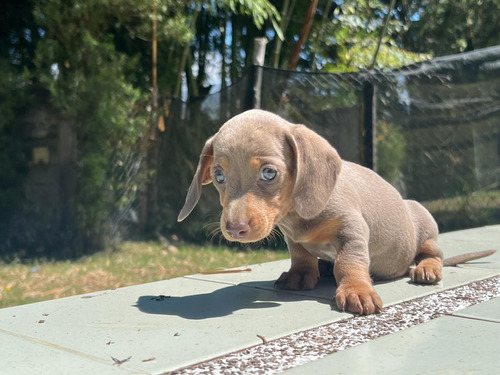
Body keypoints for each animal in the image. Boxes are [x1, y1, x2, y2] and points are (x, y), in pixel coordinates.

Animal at [178, 109, 494, 314]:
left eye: (269, 173)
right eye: (218, 176)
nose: (235, 229)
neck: (296, 215)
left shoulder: (353, 229)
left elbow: (349, 262)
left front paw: (356, 290)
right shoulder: (294, 239)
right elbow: (302, 256)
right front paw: (300, 275)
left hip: (423, 222)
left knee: (434, 253)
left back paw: (426, 268)